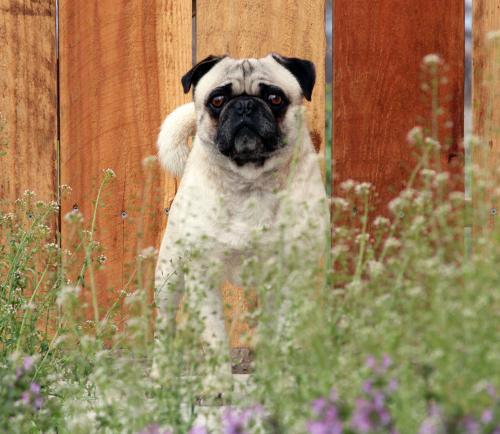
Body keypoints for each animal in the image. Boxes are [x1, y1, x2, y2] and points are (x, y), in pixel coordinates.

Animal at [154, 53, 329, 391]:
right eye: (218, 100)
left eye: (275, 98)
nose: (245, 106)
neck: (250, 182)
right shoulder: (202, 277)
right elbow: (214, 336)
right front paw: (218, 384)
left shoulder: (294, 274)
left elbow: (286, 333)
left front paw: (283, 381)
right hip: (169, 275)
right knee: (164, 326)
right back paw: (161, 375)